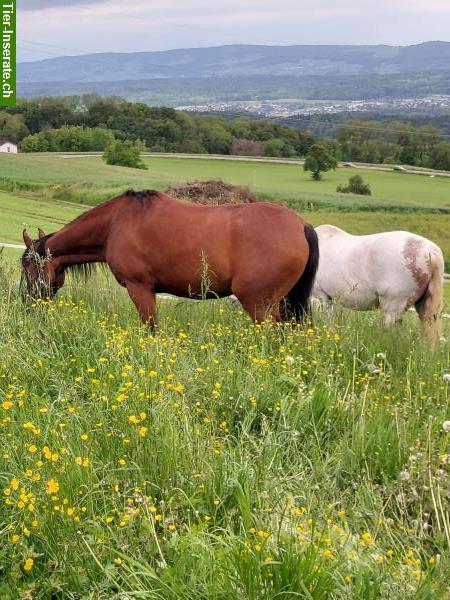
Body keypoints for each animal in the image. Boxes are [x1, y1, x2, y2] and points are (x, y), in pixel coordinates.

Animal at [20, 189, 316, 326]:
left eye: (27, 265)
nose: (27, 305)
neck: (116, 223)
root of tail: (301, 225)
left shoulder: (140, 288)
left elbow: (150, 328)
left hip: (259, 305)